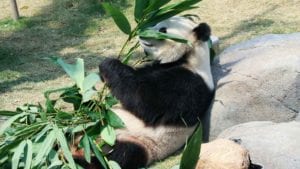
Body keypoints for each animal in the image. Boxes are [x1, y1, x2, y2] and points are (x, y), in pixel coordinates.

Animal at [75, 16, 216, 169]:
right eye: (156, 22)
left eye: (163, 30)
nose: (142, 33)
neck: (189, 56)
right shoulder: (155, 67)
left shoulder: (188, 83)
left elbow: (144, 100)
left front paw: (108, 63)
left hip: (135, 141)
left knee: (119, 154)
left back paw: (81, 158)